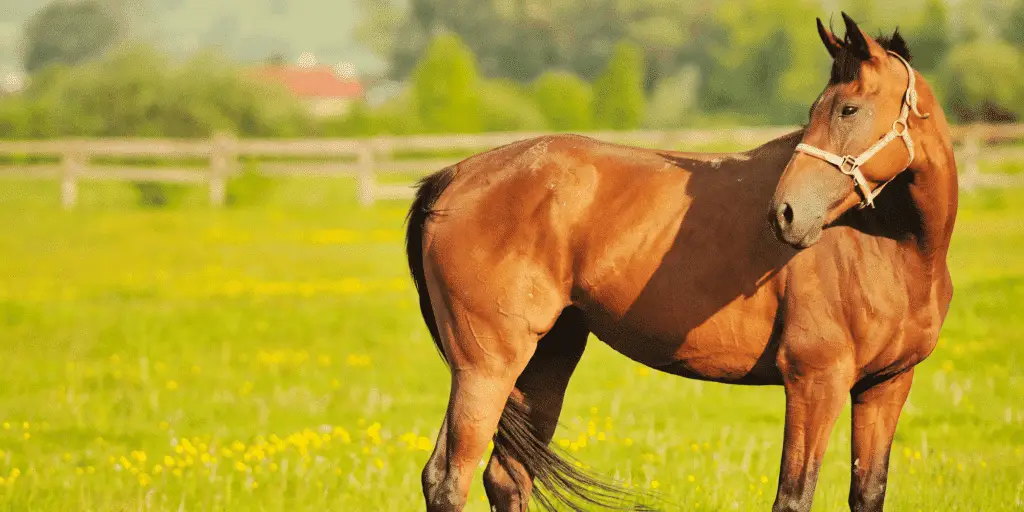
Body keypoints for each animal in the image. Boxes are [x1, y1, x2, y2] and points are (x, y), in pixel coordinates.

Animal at [403, 12, 954, 512]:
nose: (786, 213)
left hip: (544, 359)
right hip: (486, 366)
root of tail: (453, 177)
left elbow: (868, 493)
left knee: (505, 478)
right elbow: (794, 497)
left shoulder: (886, 386)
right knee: (448, 479)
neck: (892, 248)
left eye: (849, 109)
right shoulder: (815, 382)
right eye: (820, 109)